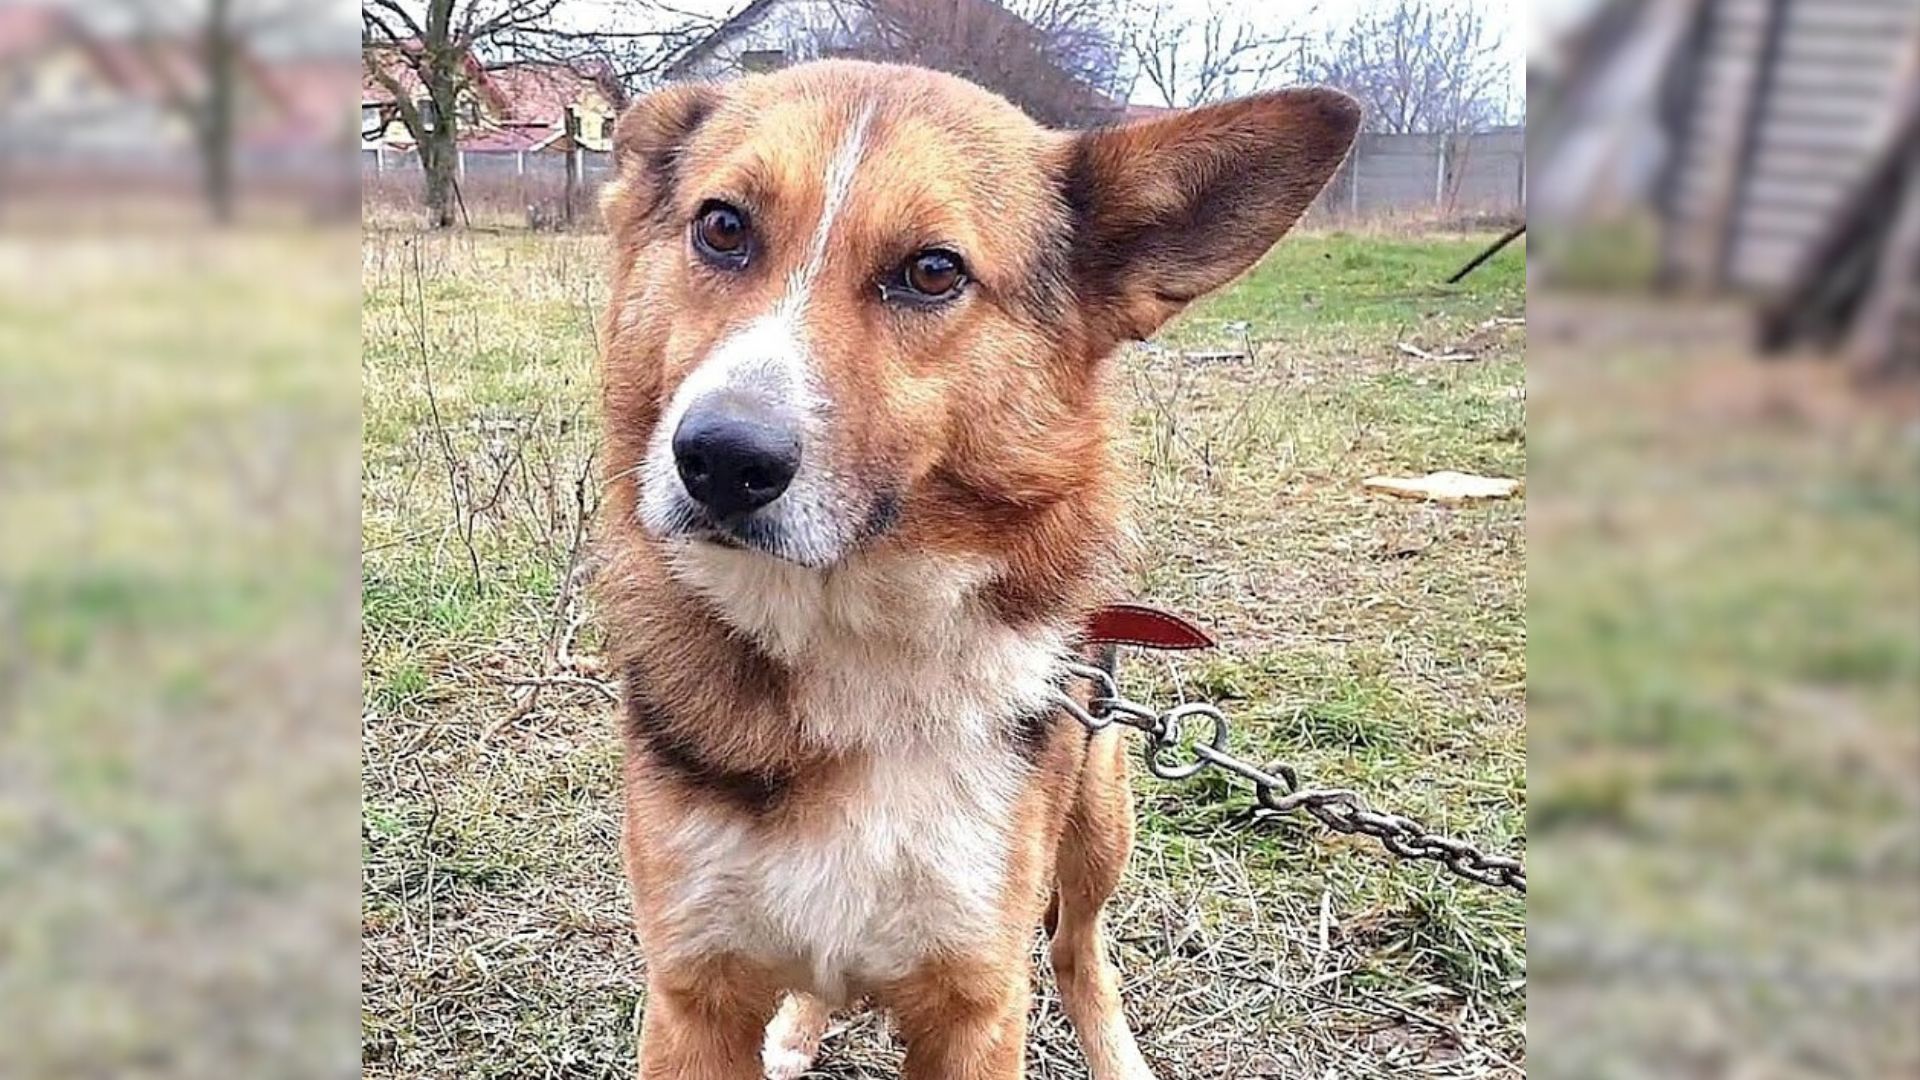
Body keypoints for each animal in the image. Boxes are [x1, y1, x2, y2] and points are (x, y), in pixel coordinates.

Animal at [591, 61, 1359, 1076]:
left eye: (932, 271)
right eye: (722, 226)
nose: (719, 458)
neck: (853, 650)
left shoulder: (977, 1007)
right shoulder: (692, 999)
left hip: (1098, 806)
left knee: (1078, 942)